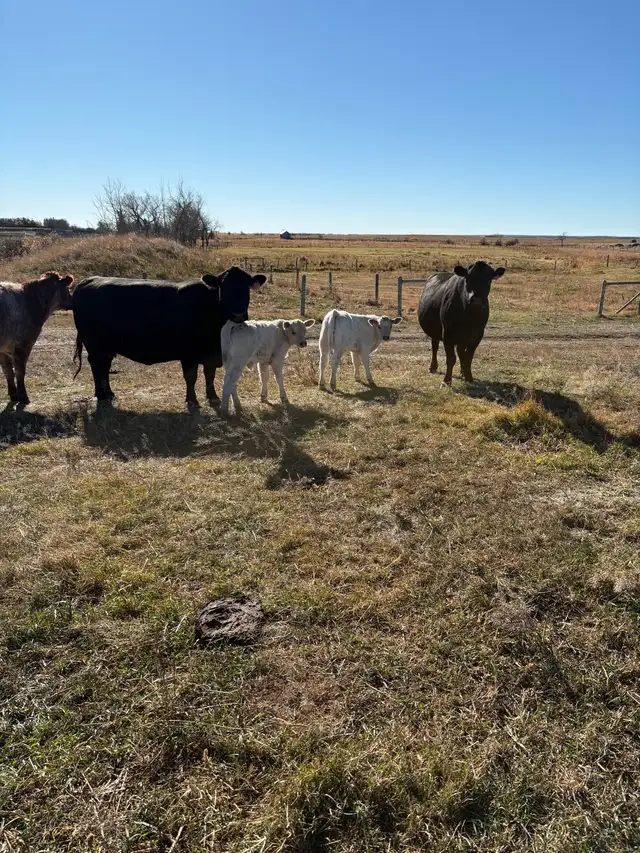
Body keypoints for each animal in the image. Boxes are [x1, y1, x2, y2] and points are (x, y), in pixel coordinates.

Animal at [0, 270, 74, 404]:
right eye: (68, 289)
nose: (73, 302)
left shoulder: (4, 348)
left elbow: (8, 371)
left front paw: (14, 395)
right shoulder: (23, 343)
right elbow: (19, 371)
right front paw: (23, 397)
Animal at [72, 267, 266, 406]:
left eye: (247, 287)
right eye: (223, 287)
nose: (238, 314)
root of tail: (88, 280)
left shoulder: (212, 353)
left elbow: (209, 375)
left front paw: (213, 397)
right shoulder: (188, 353)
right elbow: (191, 377)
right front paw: (192, 400)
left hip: (106, 347)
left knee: (104, 367)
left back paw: (108, 393)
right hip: (95, 345)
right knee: (97, 366)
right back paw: (102, 396)